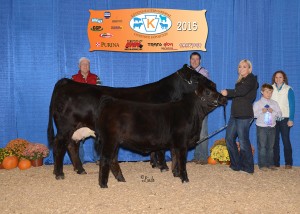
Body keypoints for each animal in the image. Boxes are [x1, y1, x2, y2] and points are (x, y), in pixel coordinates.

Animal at [48, 64, 216, 180]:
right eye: (196, 78)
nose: (213, 84)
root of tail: (66, 82)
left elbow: (156, 149)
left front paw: (154, 164)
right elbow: (161, 149)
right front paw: (163, 166)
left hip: (75, 128)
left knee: (72, 146)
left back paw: (80, 170)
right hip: (66, 127)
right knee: (59, 146)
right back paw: (59, 173)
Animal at [95, 83, 226, 188]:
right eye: (208, 92)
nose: (224, 98)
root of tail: (111, 101)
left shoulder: (175, 144)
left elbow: (175, 158)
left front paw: (176, 174)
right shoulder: (182, 143)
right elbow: (182, 161)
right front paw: (184, 179)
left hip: (117, 142)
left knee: (113, 159)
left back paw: (121, 179)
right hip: (110, 140)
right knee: (105, 159)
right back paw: (103, 184)